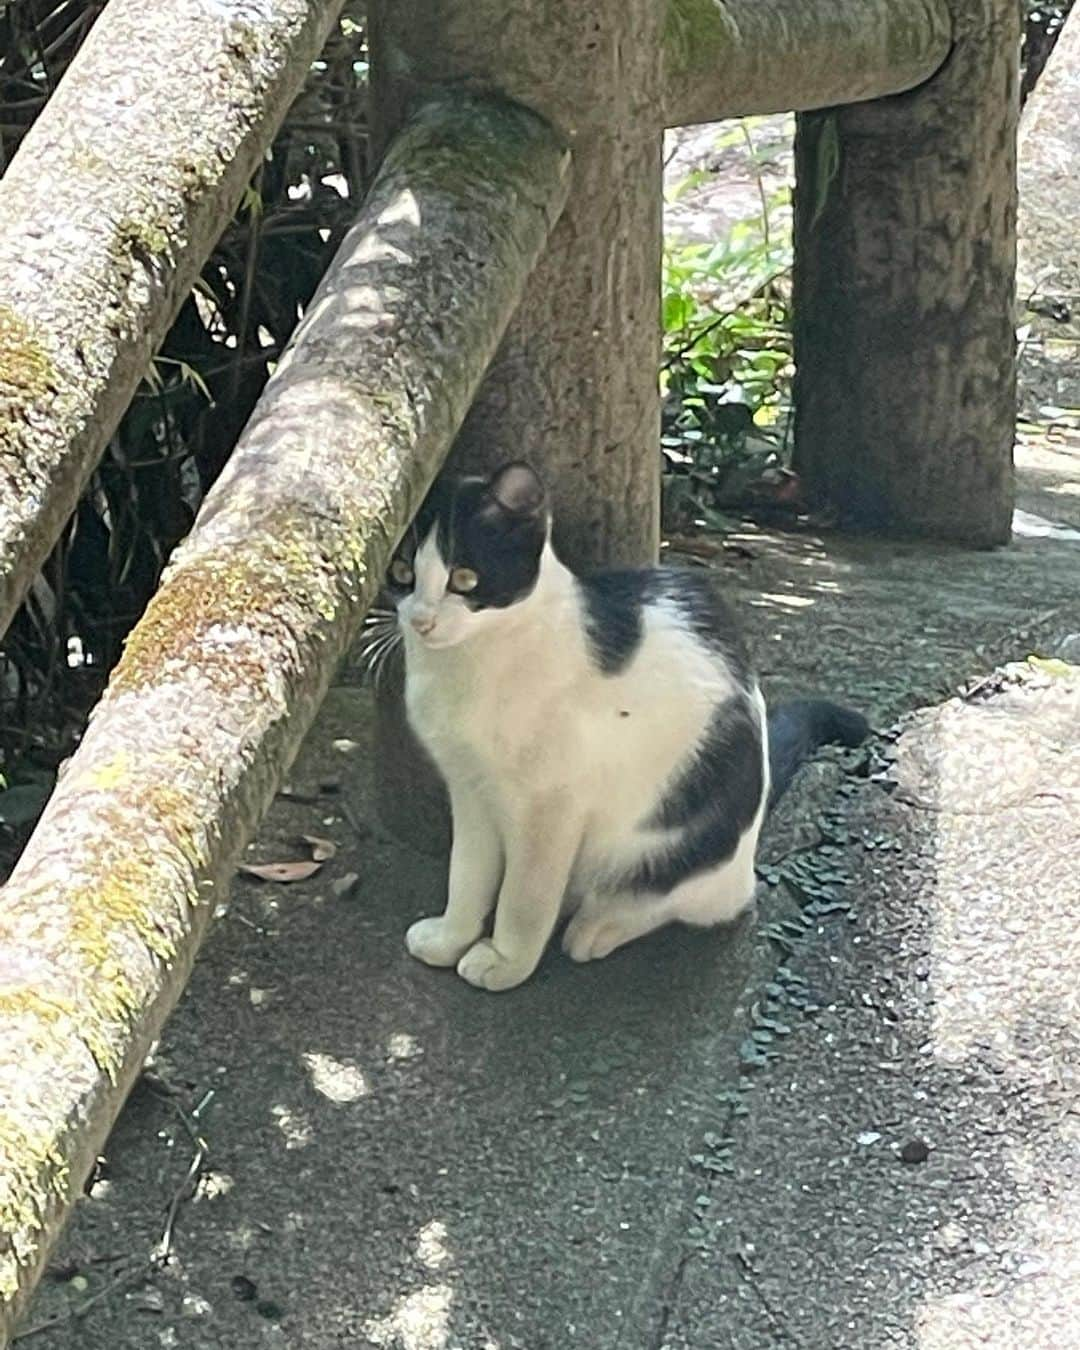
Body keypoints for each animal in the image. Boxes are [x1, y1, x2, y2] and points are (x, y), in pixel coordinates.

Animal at [361, 464, 869, 993]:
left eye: (464, 577)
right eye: (402, 573)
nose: (421, 621)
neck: (469, 670)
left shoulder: (551, 806)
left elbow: (525, 896)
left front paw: (506, 961)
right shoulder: (470, 790)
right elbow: (466, 871)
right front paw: (450, 937)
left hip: (674, 841)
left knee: (691, 899)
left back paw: (599, 926)